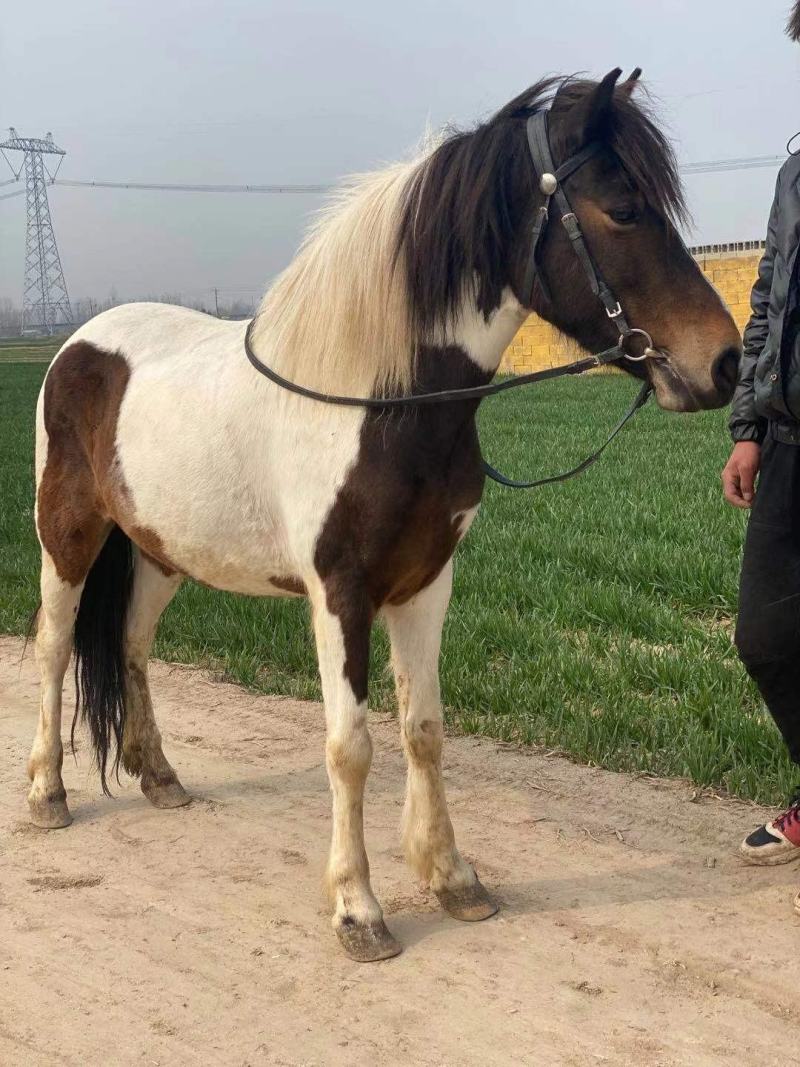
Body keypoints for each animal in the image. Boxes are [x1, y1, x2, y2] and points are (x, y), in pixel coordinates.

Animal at [28, 68, 741, 962]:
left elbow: (424, 727)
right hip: (68, 534)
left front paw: (454, 878)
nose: (726, 361)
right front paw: (358, 908)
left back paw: (159, 777)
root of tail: (77, 344)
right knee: (55, 647)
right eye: (621, 207)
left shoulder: (426, 582)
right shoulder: (342, 593)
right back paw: (47, 793)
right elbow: (351, 745)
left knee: (129, 645)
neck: (383, 401)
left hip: (160, 552)